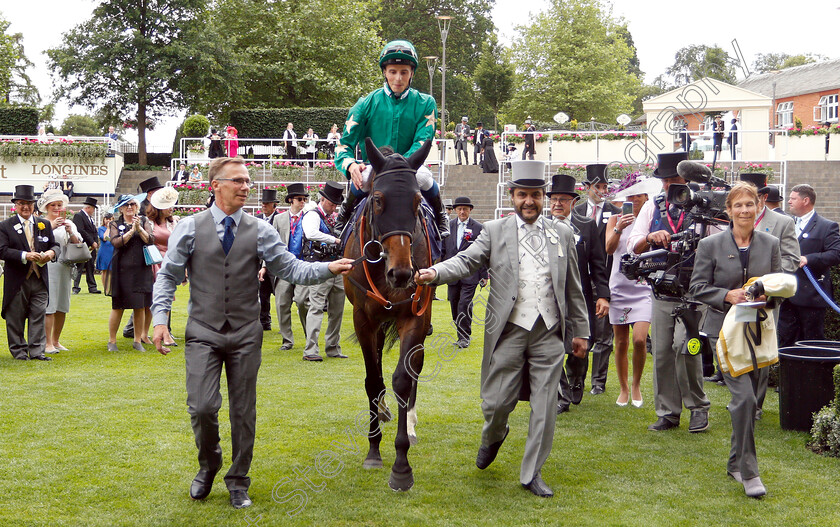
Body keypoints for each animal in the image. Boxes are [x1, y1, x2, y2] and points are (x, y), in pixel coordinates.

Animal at [342, 136, 436, 490]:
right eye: (379, 200)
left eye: (417, 201)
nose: (402, 273)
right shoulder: (365, 319)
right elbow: (373, 379)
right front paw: (373, 450)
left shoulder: (415, 317)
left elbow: (403, 379)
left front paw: (401, 465)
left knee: (413, 370)